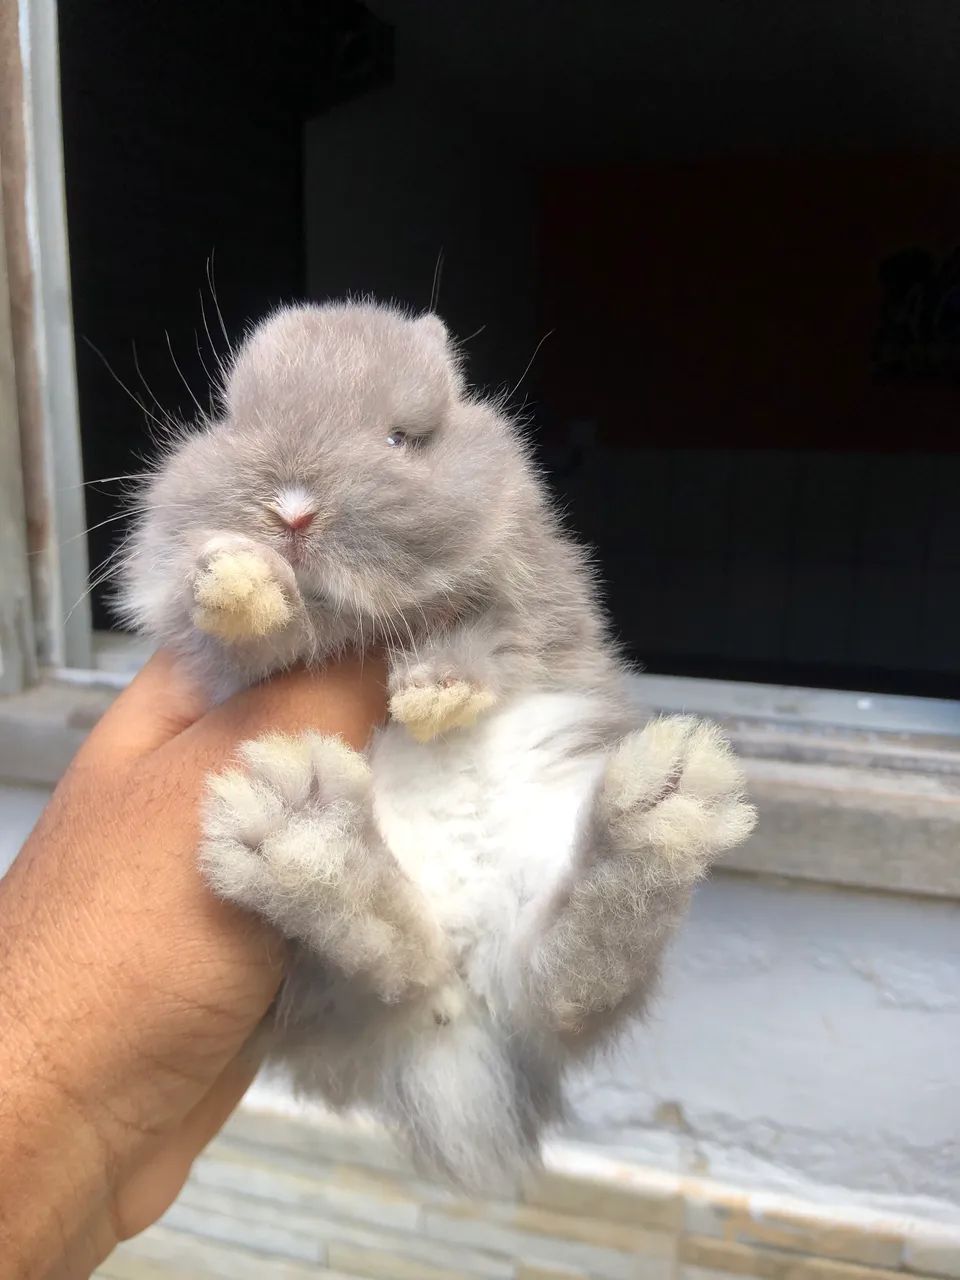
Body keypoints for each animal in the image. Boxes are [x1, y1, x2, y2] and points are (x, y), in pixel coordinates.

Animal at [118, 300, 756, 1192]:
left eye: (403, 438)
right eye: (233, 420)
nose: (293, 511)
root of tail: (457, 1020)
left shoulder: (528, 594)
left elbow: (487, 640)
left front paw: (433, 697)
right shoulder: (216, 654)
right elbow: (230, 625)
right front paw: (239, 580)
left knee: (574, 984)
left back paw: (663, 805)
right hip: (316, 973)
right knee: (399, 958)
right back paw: (303, 835)